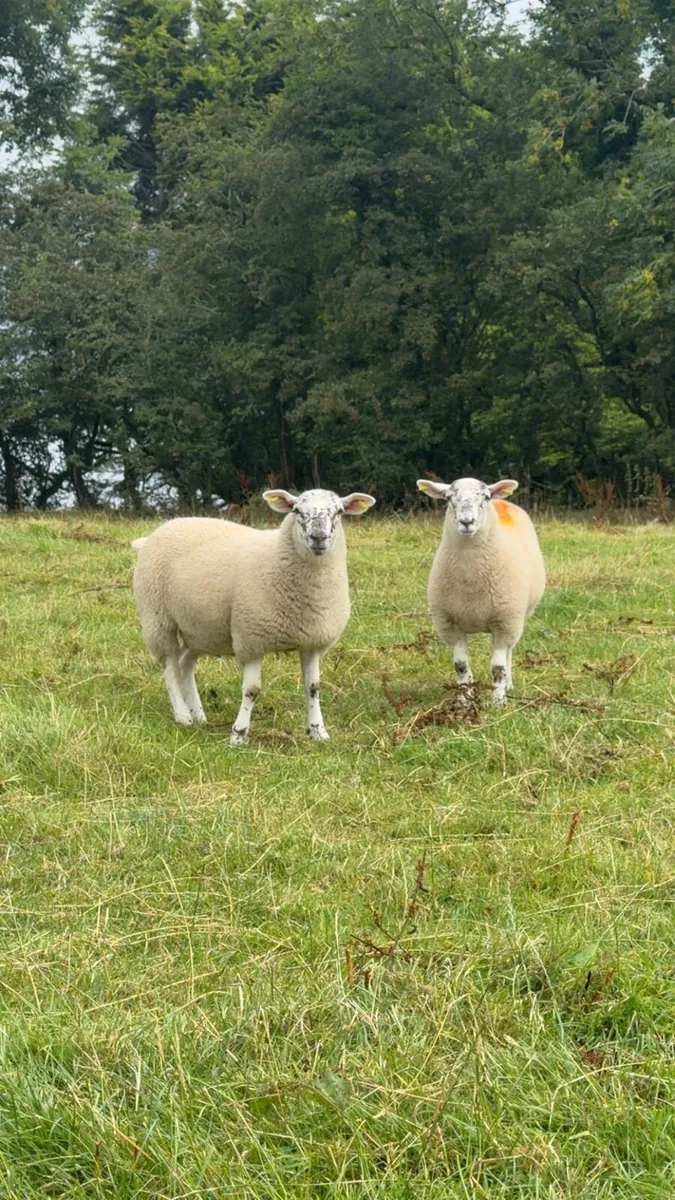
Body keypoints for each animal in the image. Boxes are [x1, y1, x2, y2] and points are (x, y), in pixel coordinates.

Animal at [132, 488, 375, 745]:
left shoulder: (312, 641)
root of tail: (152, 536)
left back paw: (198, 715)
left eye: (338, 511)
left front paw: (318, 731)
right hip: (157, 619)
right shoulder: (252, 639)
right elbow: (252, 690)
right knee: (169, 668)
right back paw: (182, 716)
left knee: (185, 664)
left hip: (200, 629)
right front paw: (238, 734)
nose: (318, 537)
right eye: (297, 510)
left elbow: (313, 687)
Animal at [416, 477, 545, 704]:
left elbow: (498, 668)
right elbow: (460, 666)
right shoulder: (450, 624)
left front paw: (498, 701)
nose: (467, 522)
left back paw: (509, 685)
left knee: (510, 652)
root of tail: (502, 502)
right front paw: (464, 700)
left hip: (515, 619)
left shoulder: (504, 622)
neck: (471, 582)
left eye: (485, 497)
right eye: (448, 498)